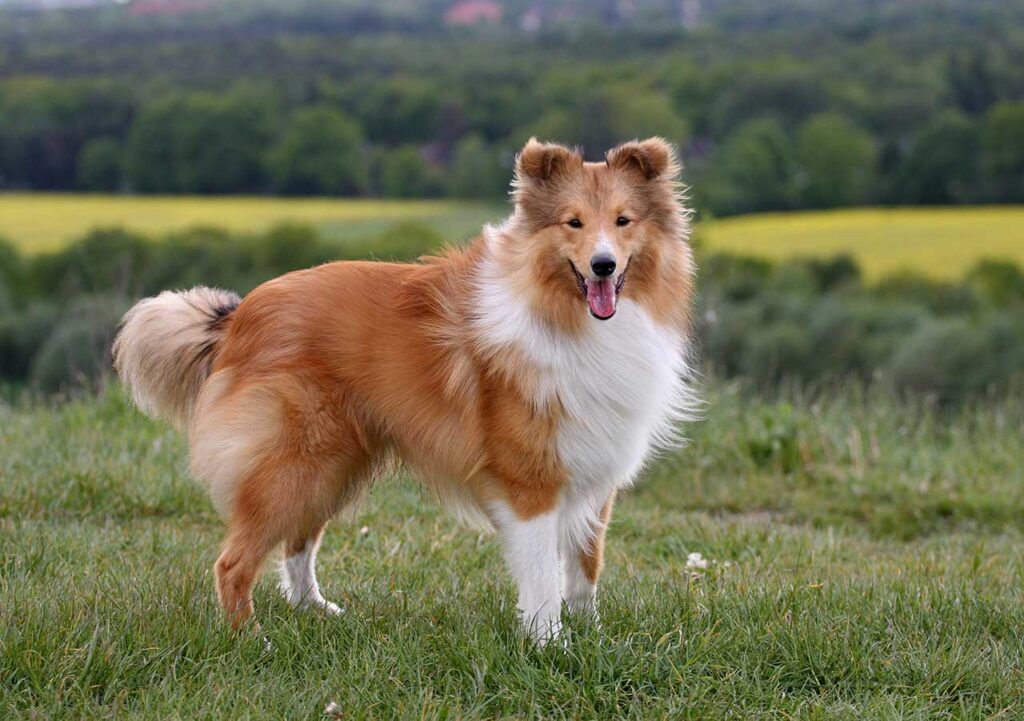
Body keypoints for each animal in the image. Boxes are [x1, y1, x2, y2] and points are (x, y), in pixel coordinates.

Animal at [116, 136, 700, 643]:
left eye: (623, 221)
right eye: (572, 222)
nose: (603, 265)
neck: (566, 314)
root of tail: (239, 316)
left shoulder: (593, 473)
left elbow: (584, 569)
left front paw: (593, 636)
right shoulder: (529, 482)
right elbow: (542, 579)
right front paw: (550, 646)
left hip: (331, 465)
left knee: (298, 544)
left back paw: (318, 612)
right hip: (294, 461)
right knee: (233, 562)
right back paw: (252, 641)